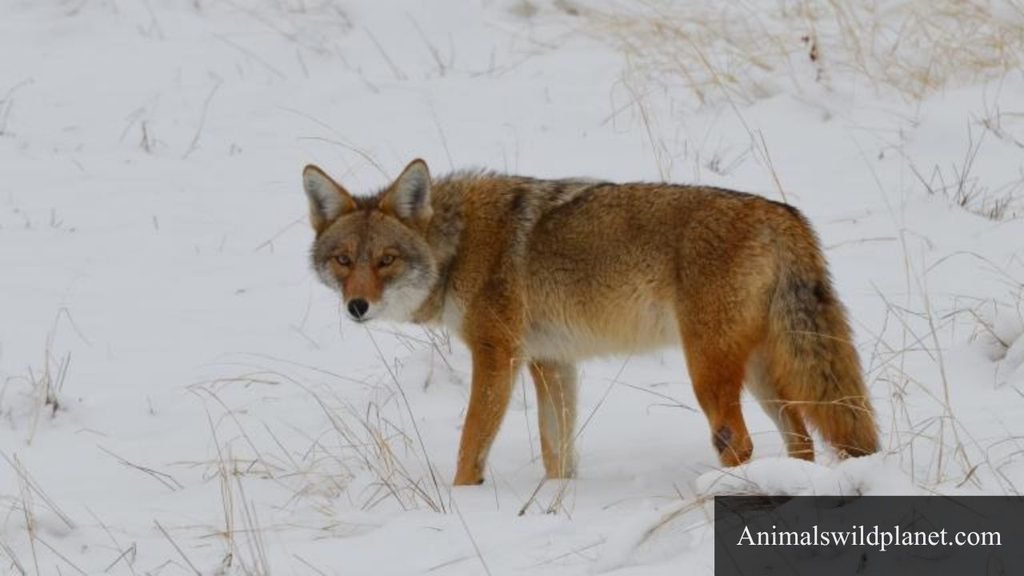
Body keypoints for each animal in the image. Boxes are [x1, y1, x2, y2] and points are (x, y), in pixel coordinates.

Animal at [302, 158, 879, 486]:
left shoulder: (497, 357)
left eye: (386, 261)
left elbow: (471, 443)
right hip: (762, 374)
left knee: (739, 442)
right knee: (802, 441)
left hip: (710, 374)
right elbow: (557, 452)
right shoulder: (552, 363)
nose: (357, 307)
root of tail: (781, 214)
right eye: (344, 261)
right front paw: (558, 500)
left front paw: (463, 501)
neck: (459, 245)